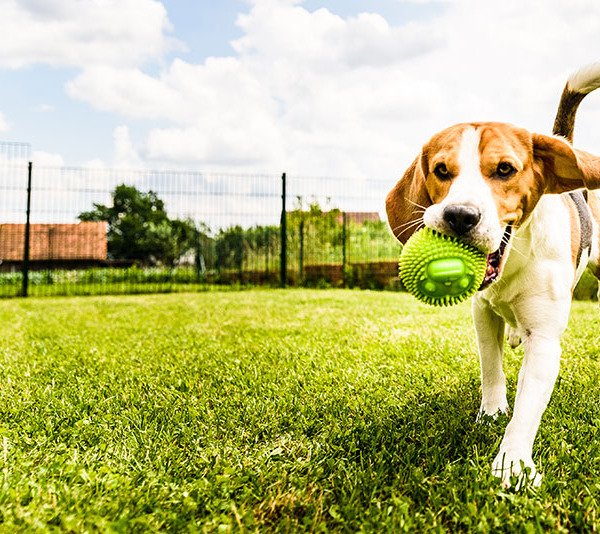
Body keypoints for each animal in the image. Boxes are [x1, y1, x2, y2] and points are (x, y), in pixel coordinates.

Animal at [386, 65, 600, 488]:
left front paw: (513, 462)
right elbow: (491, 368)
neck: (512, 263)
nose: (459, 216)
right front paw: (492, 412)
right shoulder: (482, 313)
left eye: (504, 170)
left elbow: (527, 409)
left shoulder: (545, 339)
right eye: (441, 170)